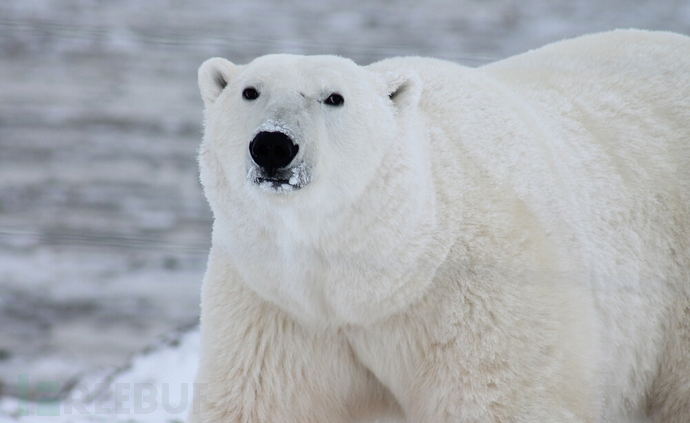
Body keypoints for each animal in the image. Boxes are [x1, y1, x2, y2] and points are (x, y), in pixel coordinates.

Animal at [189, 30, 688, 423]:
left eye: (334, 97)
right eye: (250, 91)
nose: (273, 145)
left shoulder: (482, 296)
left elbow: (500, 400)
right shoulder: (276, 308)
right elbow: (262, 403)